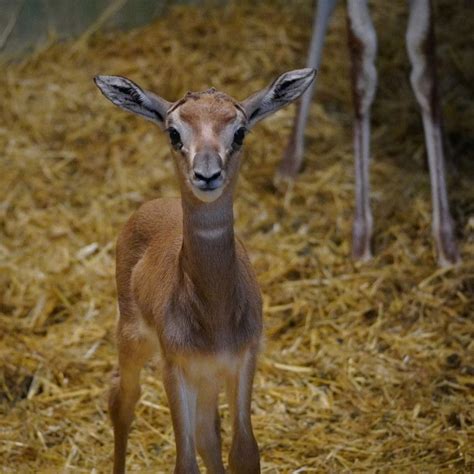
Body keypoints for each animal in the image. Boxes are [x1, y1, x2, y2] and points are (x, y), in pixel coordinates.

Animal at [93, 67, 314, 474]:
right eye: (174, 132)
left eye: (240, 132)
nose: (207, 174)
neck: (215, 317)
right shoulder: (175, 367)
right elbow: (184, 462)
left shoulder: (241, 361)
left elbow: (243, 450)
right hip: (132, 338)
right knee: (121, 399)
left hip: (206, 378)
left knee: (206, 431)